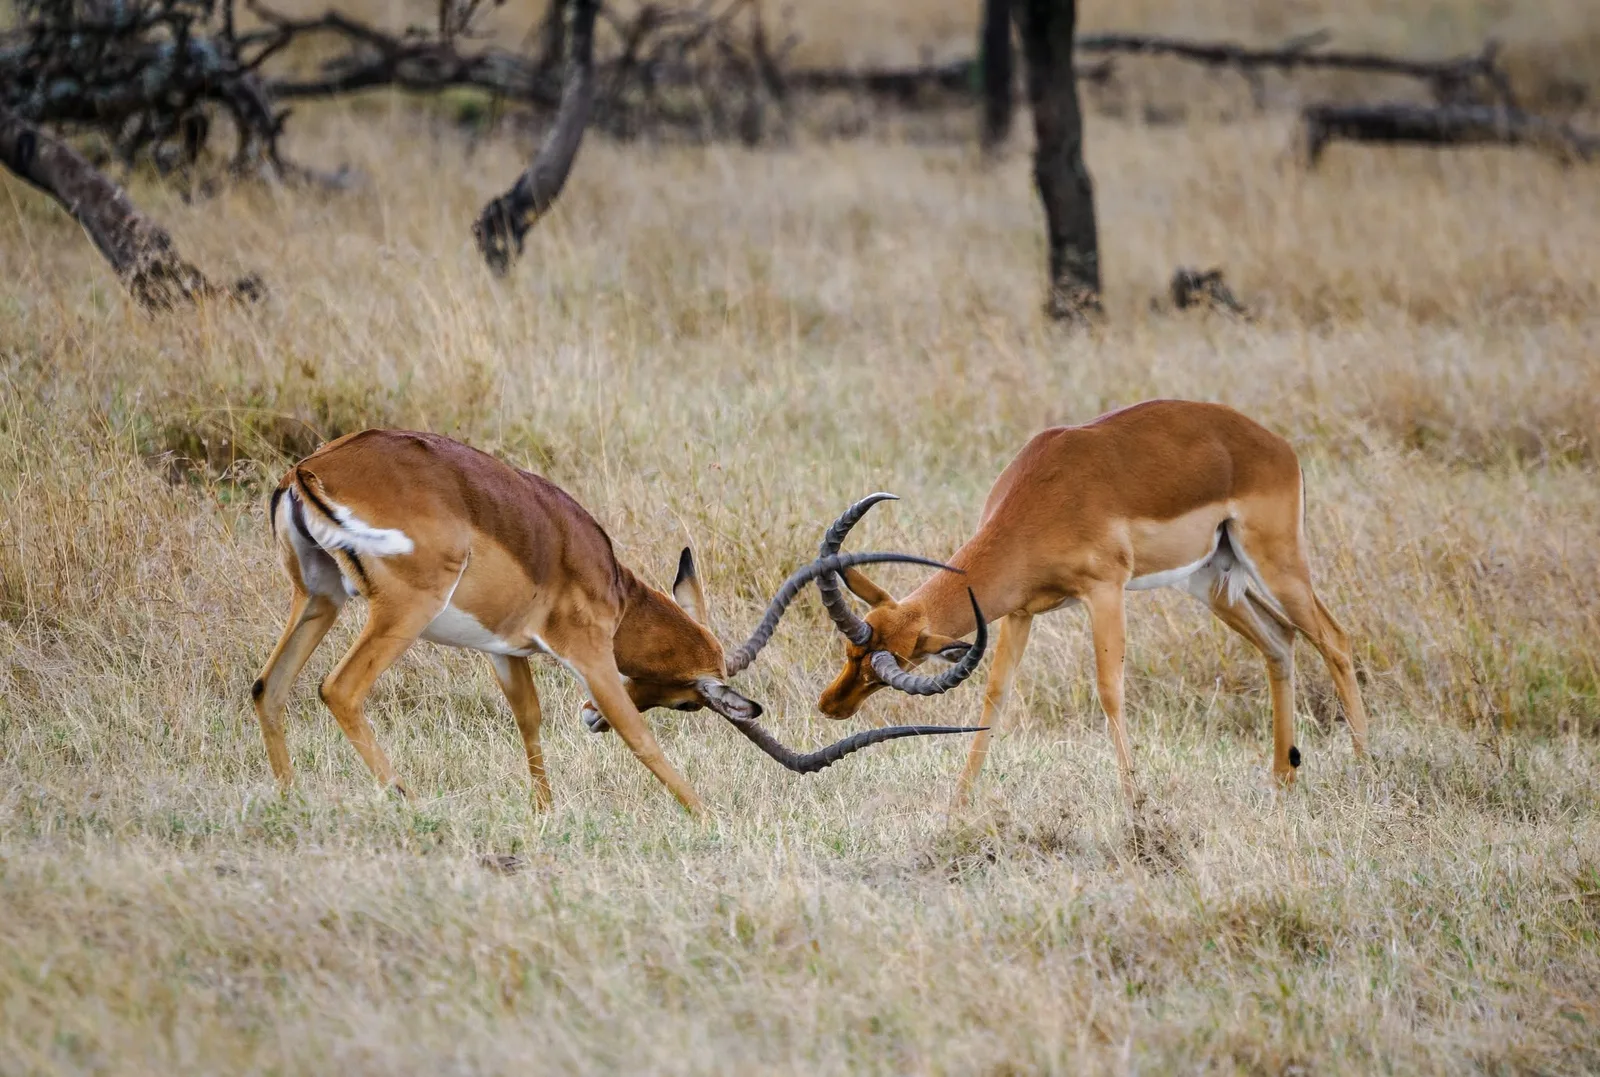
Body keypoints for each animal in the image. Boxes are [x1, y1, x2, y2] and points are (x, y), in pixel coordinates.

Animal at [252, 429, 982, 814]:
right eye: (689, 702)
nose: (587, 719)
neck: (615, 589)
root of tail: (310, 468)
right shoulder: (589, 654)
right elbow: (640, 737)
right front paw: (704, 815)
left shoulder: (506, 649)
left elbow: (529, 720)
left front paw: (545, 813)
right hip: (401, 610)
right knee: (338, 689)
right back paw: (404, 796)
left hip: (317, 597)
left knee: (270, 686)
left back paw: (290, 801)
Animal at [811, 399, 1370, 806]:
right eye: (850, 653)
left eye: (887, 671)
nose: (830, 706)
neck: (1046, 492)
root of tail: (1278, 446)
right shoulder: (1019, 612)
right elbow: (997, 695)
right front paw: (959, 802)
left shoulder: (1105, 591)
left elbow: (1110, 690)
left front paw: (1135, 802)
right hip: (1211, 580)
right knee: (1280, 641)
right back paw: (1281, 779)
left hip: (1278, 563)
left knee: (1335, 640)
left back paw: (1365, 770)